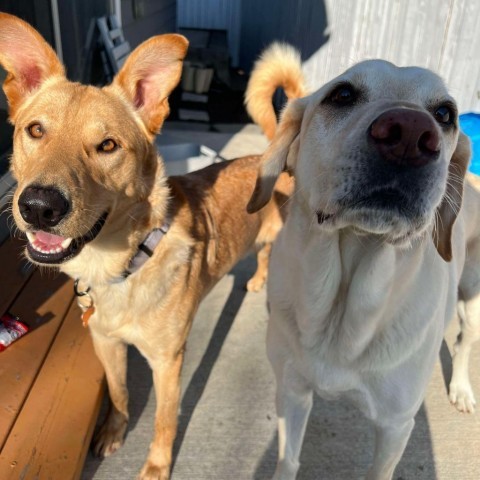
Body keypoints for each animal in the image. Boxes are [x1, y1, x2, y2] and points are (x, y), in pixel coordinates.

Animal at [0, 13, 288, 478]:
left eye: (108, 146)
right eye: (36, 130)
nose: (39, 207)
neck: (125, 265)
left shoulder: (168, 362)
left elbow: (164, 420)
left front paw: (156, 466)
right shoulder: (106, 344)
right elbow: (118, 394)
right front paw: (113, 431)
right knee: (262, 252)